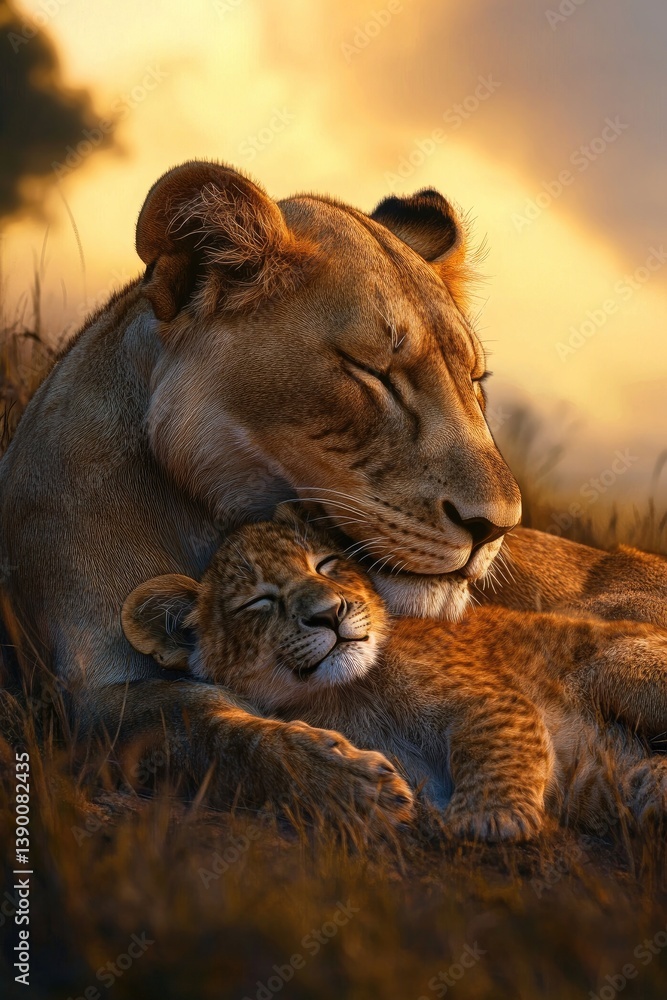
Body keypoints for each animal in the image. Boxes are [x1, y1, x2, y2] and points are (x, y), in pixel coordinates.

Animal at [122, 509, 667, 842]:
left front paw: (490, 818)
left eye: (327, 564)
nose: (330, 612)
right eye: (258, 602)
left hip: (614, 666)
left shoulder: (485, 693)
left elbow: (492, 735)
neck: (348, 694)